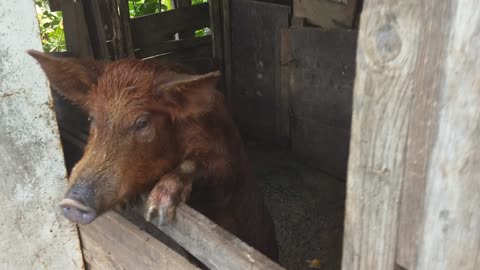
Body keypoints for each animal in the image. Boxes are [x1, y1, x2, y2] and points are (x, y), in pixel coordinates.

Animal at [28, 50, 280, 260]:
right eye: (91, 118)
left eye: (143, 122)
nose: (72, 202)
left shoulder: (227, 166)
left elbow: (208, 166)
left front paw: (156, 211)